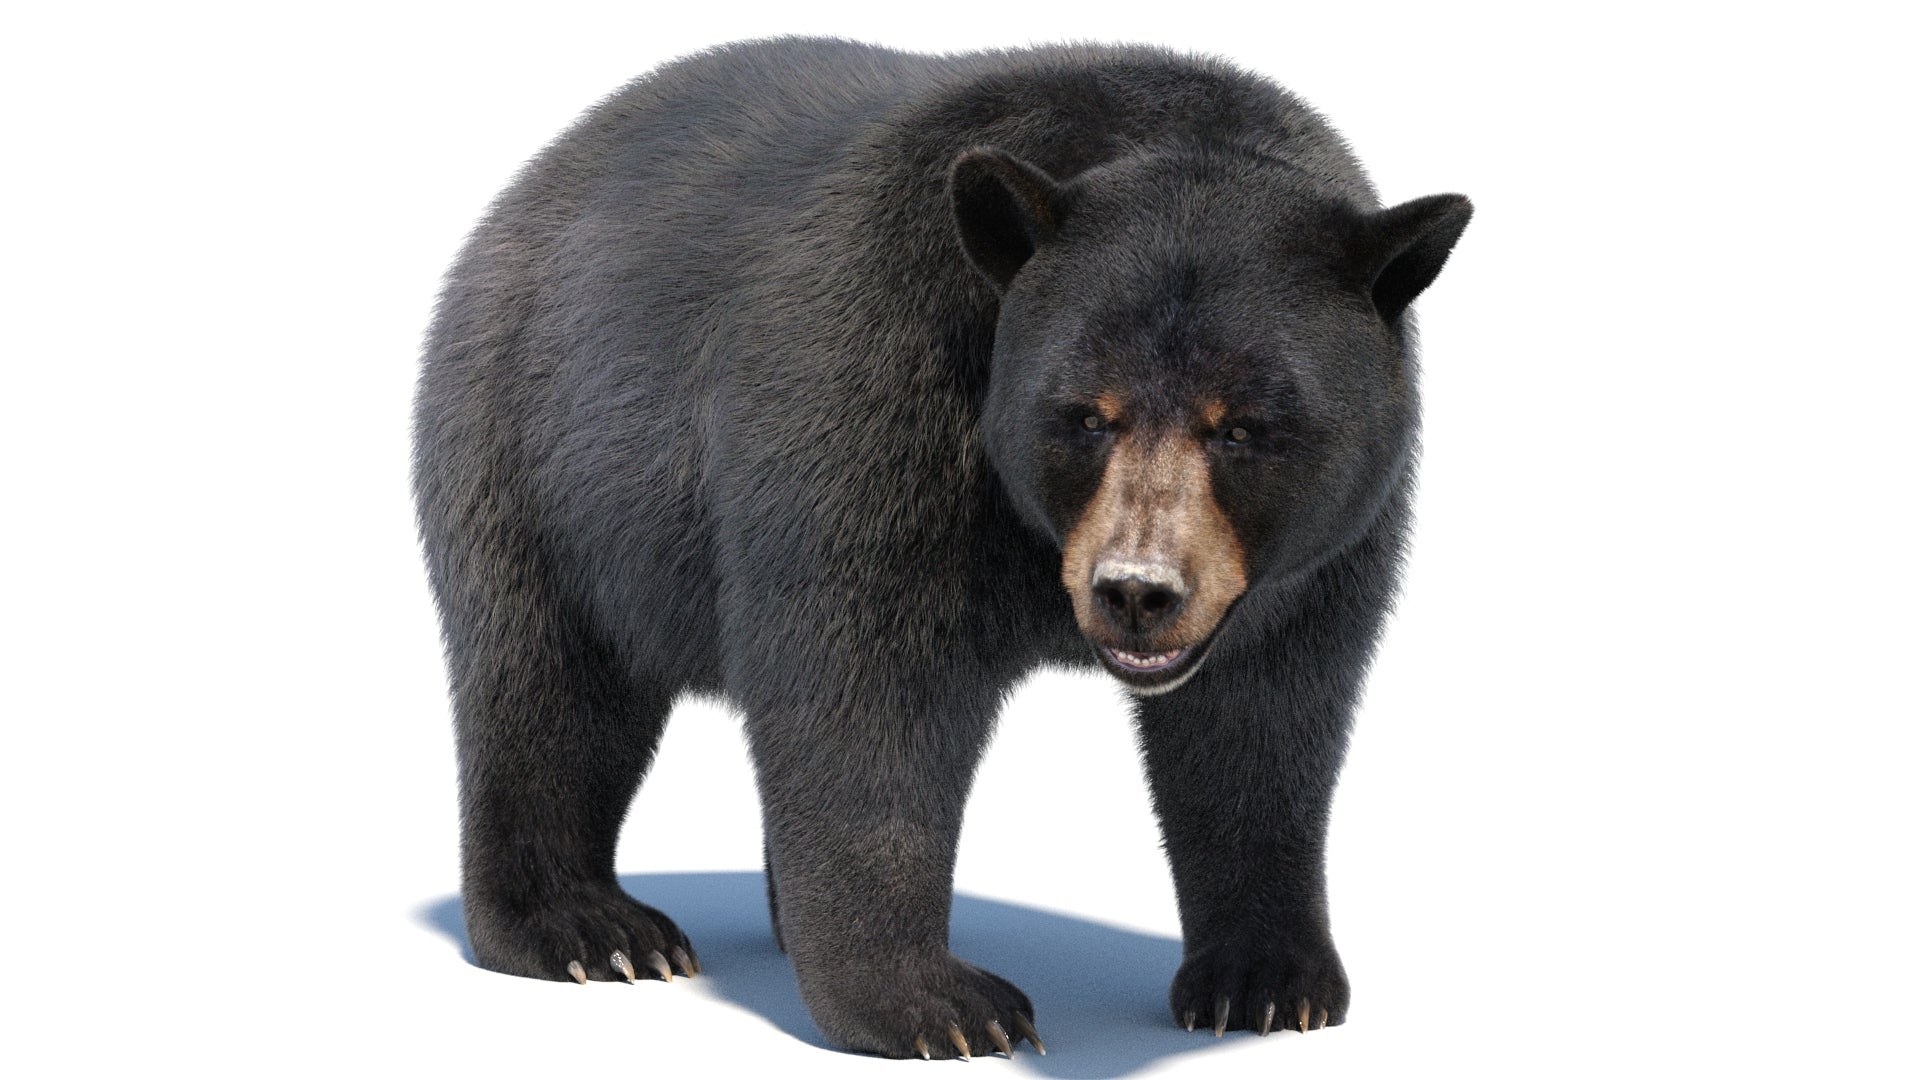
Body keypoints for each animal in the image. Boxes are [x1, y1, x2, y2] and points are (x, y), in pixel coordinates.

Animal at [413, 36, 1470, 1060]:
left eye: (1244, 427)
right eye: (1085, 415)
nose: (1136, 591)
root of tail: (531, 181)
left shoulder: (1322, 551)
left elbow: (1263, 720)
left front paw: (1266, 982)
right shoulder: (886, 375)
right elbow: (867, 691)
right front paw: (936, 1003)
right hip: (537, 450)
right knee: (549, 683)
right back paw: (588, 929)